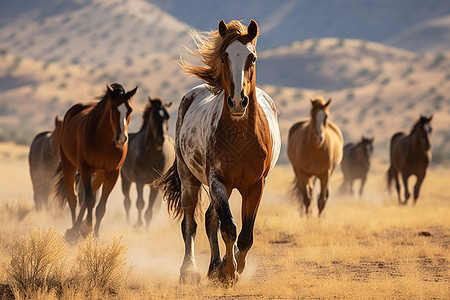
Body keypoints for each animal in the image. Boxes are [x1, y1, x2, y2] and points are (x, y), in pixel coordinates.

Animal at [54, 82, 136, 239]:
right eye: (112, 107)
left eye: (130, 109)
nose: (122, 139)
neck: (105, 139)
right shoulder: (85, 168)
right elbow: (90, 200)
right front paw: (87, 227)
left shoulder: (112, 173)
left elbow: (100, 207)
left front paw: (95, 234)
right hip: (69, 166)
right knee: (73, 198)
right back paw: (73, 230)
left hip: (99, 174)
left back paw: (78, 228)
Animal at [120, 96, 175, 227]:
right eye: (154, 116)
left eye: (167, 116)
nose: (160, 139)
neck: (152, 153)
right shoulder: (139, 180)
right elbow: (140, 203)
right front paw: (139, 224)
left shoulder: (155, 182)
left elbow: (151, 206)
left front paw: (147, 226)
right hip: (125, 180)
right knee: (127, 202)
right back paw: (127, 222)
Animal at [156, 20, 282, 284]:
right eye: (224, 57)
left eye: (252, 58)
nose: (237, 102)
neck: (240, 135)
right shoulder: (217, 181)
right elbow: (229, 228)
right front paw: (229, 271)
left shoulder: (256, 185)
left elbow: (245, 234)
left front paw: (232, 267)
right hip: (189, 179)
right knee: (191, 223)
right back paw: (190, 270)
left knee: (210, 219)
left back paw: (214, 266)